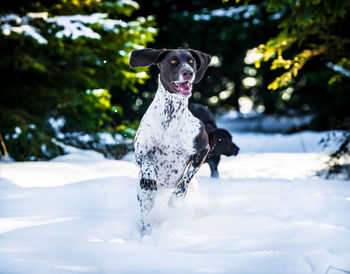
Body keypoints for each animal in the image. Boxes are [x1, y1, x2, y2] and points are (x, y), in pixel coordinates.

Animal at [129, 47, 211, 233]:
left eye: (191, 61)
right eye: (172, 61)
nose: (188, 72)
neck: (171, 114)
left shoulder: (203, 150)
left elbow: (185, 180)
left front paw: (176, 199)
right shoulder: (140, 151)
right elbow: (147, 163)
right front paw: (149, 177)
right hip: (145, 198)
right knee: (147, 217)